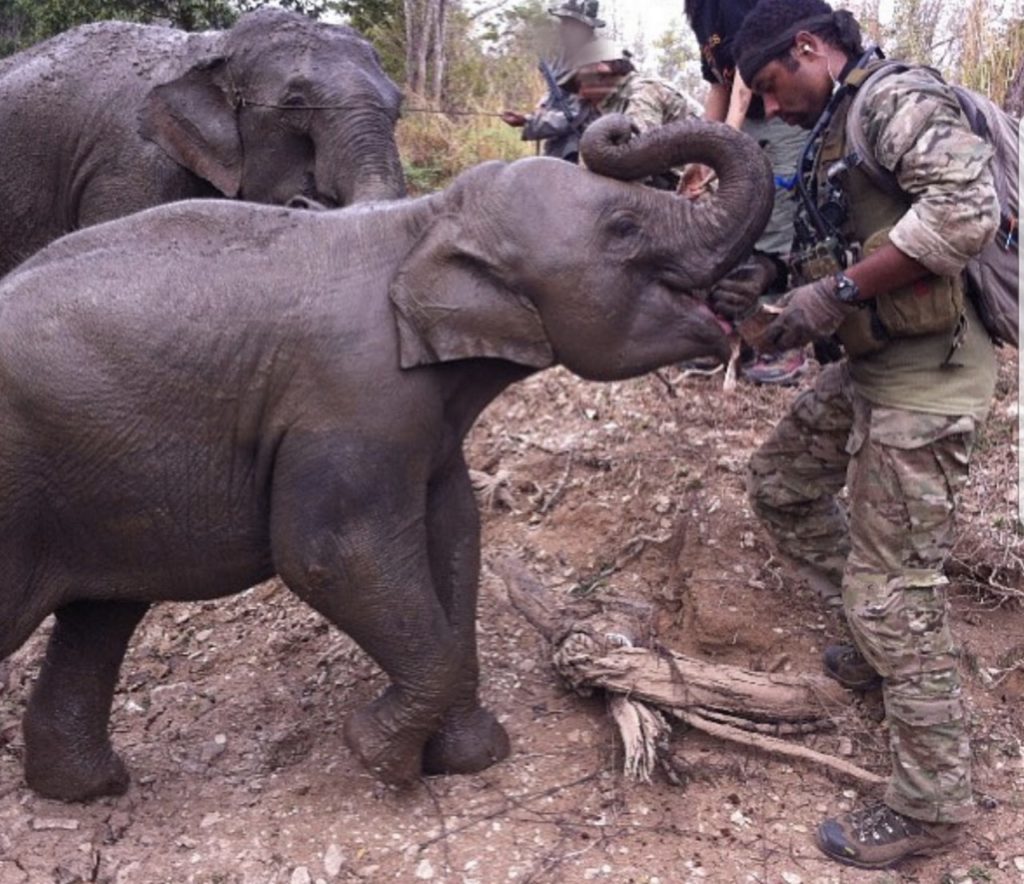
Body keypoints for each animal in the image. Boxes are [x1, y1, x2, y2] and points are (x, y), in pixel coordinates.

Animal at [0, 114, 770, 798]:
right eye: (623, 230)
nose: (621, 128)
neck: (422, 221)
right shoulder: (351, 399)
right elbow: (331, 555)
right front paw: (377, 758)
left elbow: (454, 535)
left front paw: (469, 760)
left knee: (102, 613)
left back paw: (92, 790)